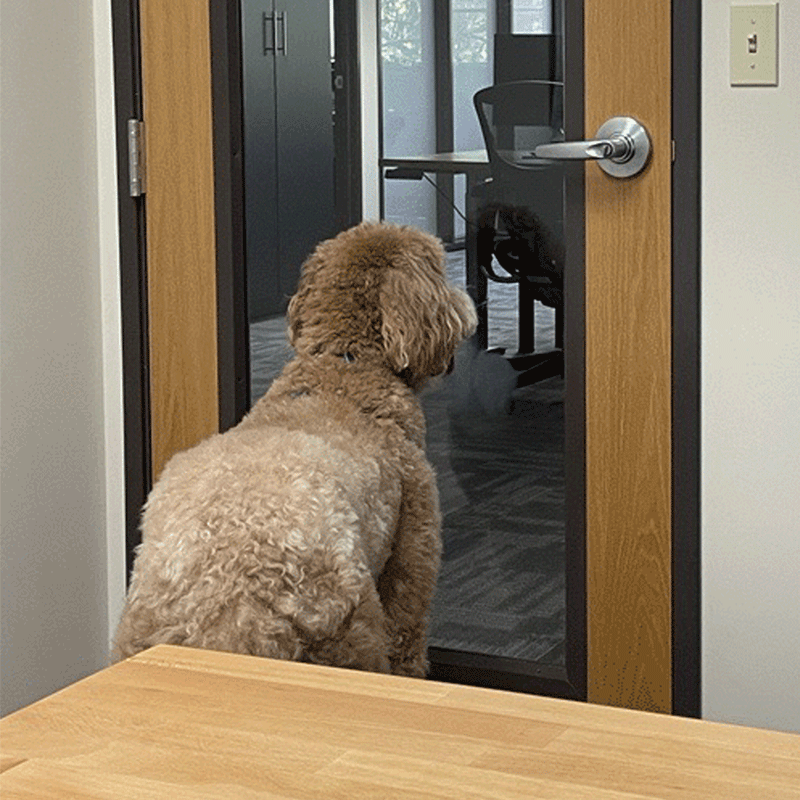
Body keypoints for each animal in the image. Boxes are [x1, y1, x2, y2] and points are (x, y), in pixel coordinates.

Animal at [112, 219, 476, 676]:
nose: (466, 307)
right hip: (350, 628)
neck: (343, 363)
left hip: (136, 629)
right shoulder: (413, 548)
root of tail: (227, 613)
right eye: (441, 270)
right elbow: (407, 636)